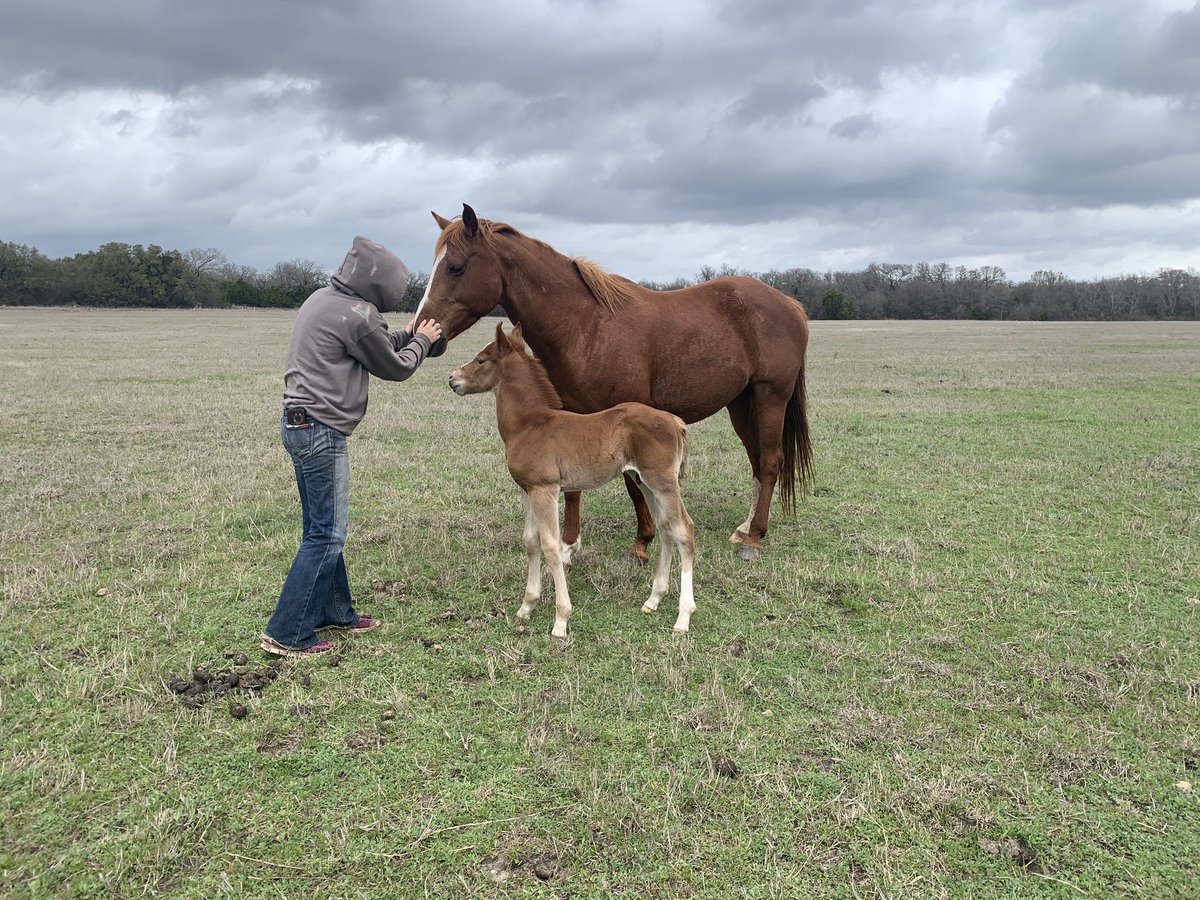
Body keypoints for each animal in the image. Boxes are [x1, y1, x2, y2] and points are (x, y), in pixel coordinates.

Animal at [417, 203, 813, 562]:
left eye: (456, 266)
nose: (424, 332)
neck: (586, 325)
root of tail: (792, 304)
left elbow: (633, 485)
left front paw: (641, 544)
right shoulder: (571, 415)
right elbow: (573, 488)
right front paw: (569, 544)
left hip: (770, 396)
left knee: (771, 462)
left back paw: (754, 539)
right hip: (742, 402)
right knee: (756, 460)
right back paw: (745, 529)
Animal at [449, 323, 696, 637]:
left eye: (481, 360)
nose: (452, 379)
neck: (529, 425)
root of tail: (675, 421)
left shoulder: (545, 489)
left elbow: (552, 546)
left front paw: (561, 620)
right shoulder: (527, 490)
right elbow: (531, 541)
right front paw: (526, 607)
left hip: (663, 482)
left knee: (684, 531)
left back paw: (683, 617)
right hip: (645, 482)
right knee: (666, 529)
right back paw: (653, 600)